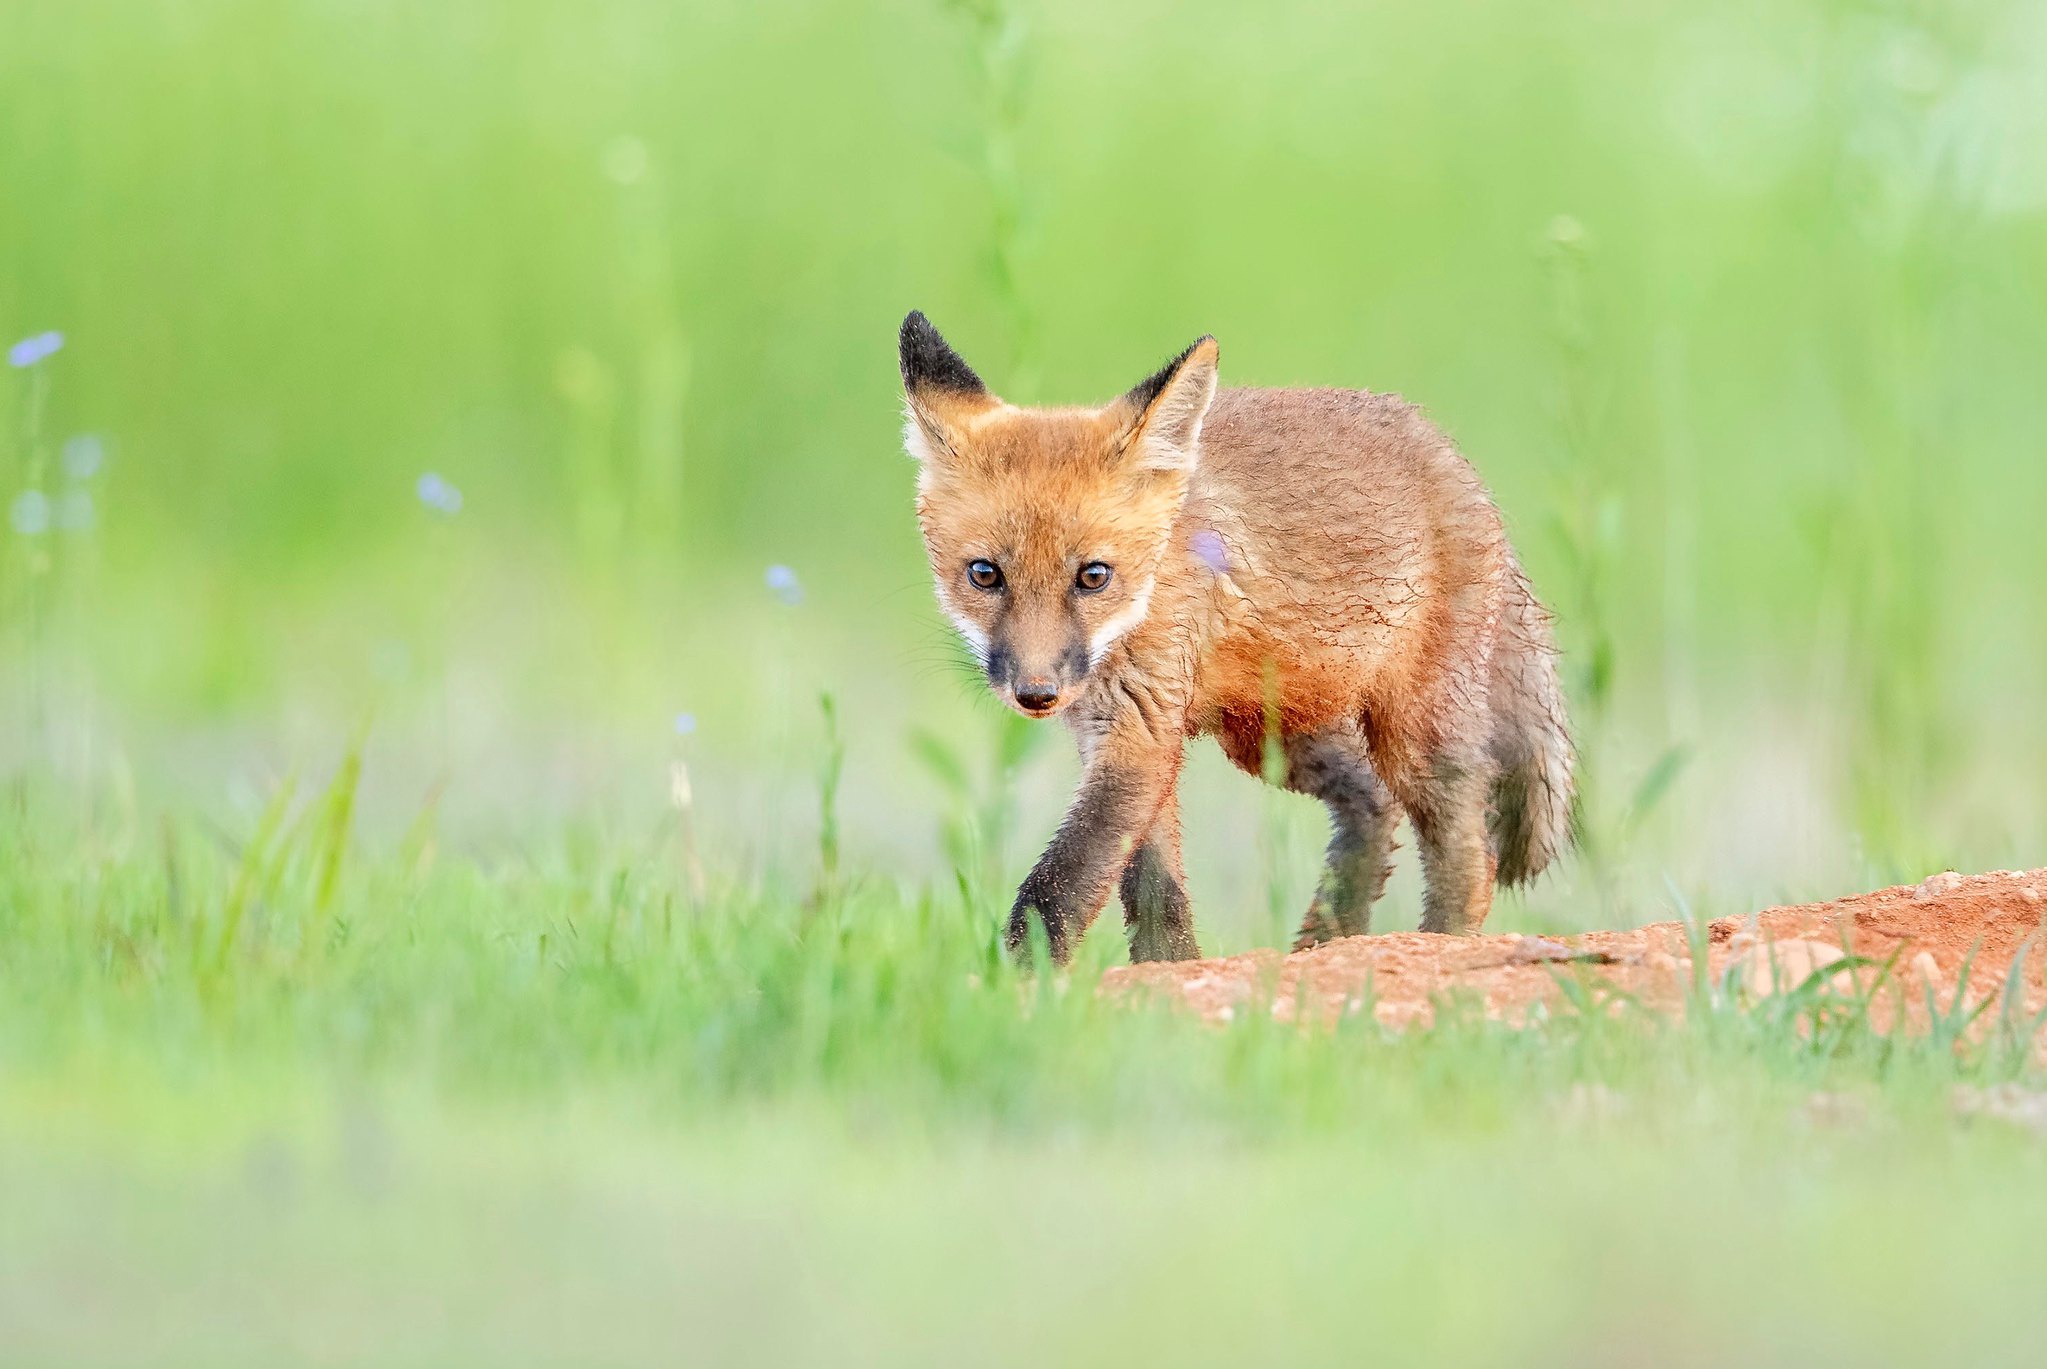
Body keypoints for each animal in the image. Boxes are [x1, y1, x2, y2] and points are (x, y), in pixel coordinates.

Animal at [904, 308, 1572, 961]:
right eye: (985, 575)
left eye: (1093, 576)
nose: (1036, 693)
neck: (1151, 590)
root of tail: (1452, 457)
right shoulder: (1123, 734)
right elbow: (1154, 889)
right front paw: (1168, 971)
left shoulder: (1139, 729)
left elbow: (1058, 890)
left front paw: (1010, 984)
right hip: (1271, 736)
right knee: (1372, 804)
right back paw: (1323, 945)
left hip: (1412, 736)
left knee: (1470, 850)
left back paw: (1436, 945)